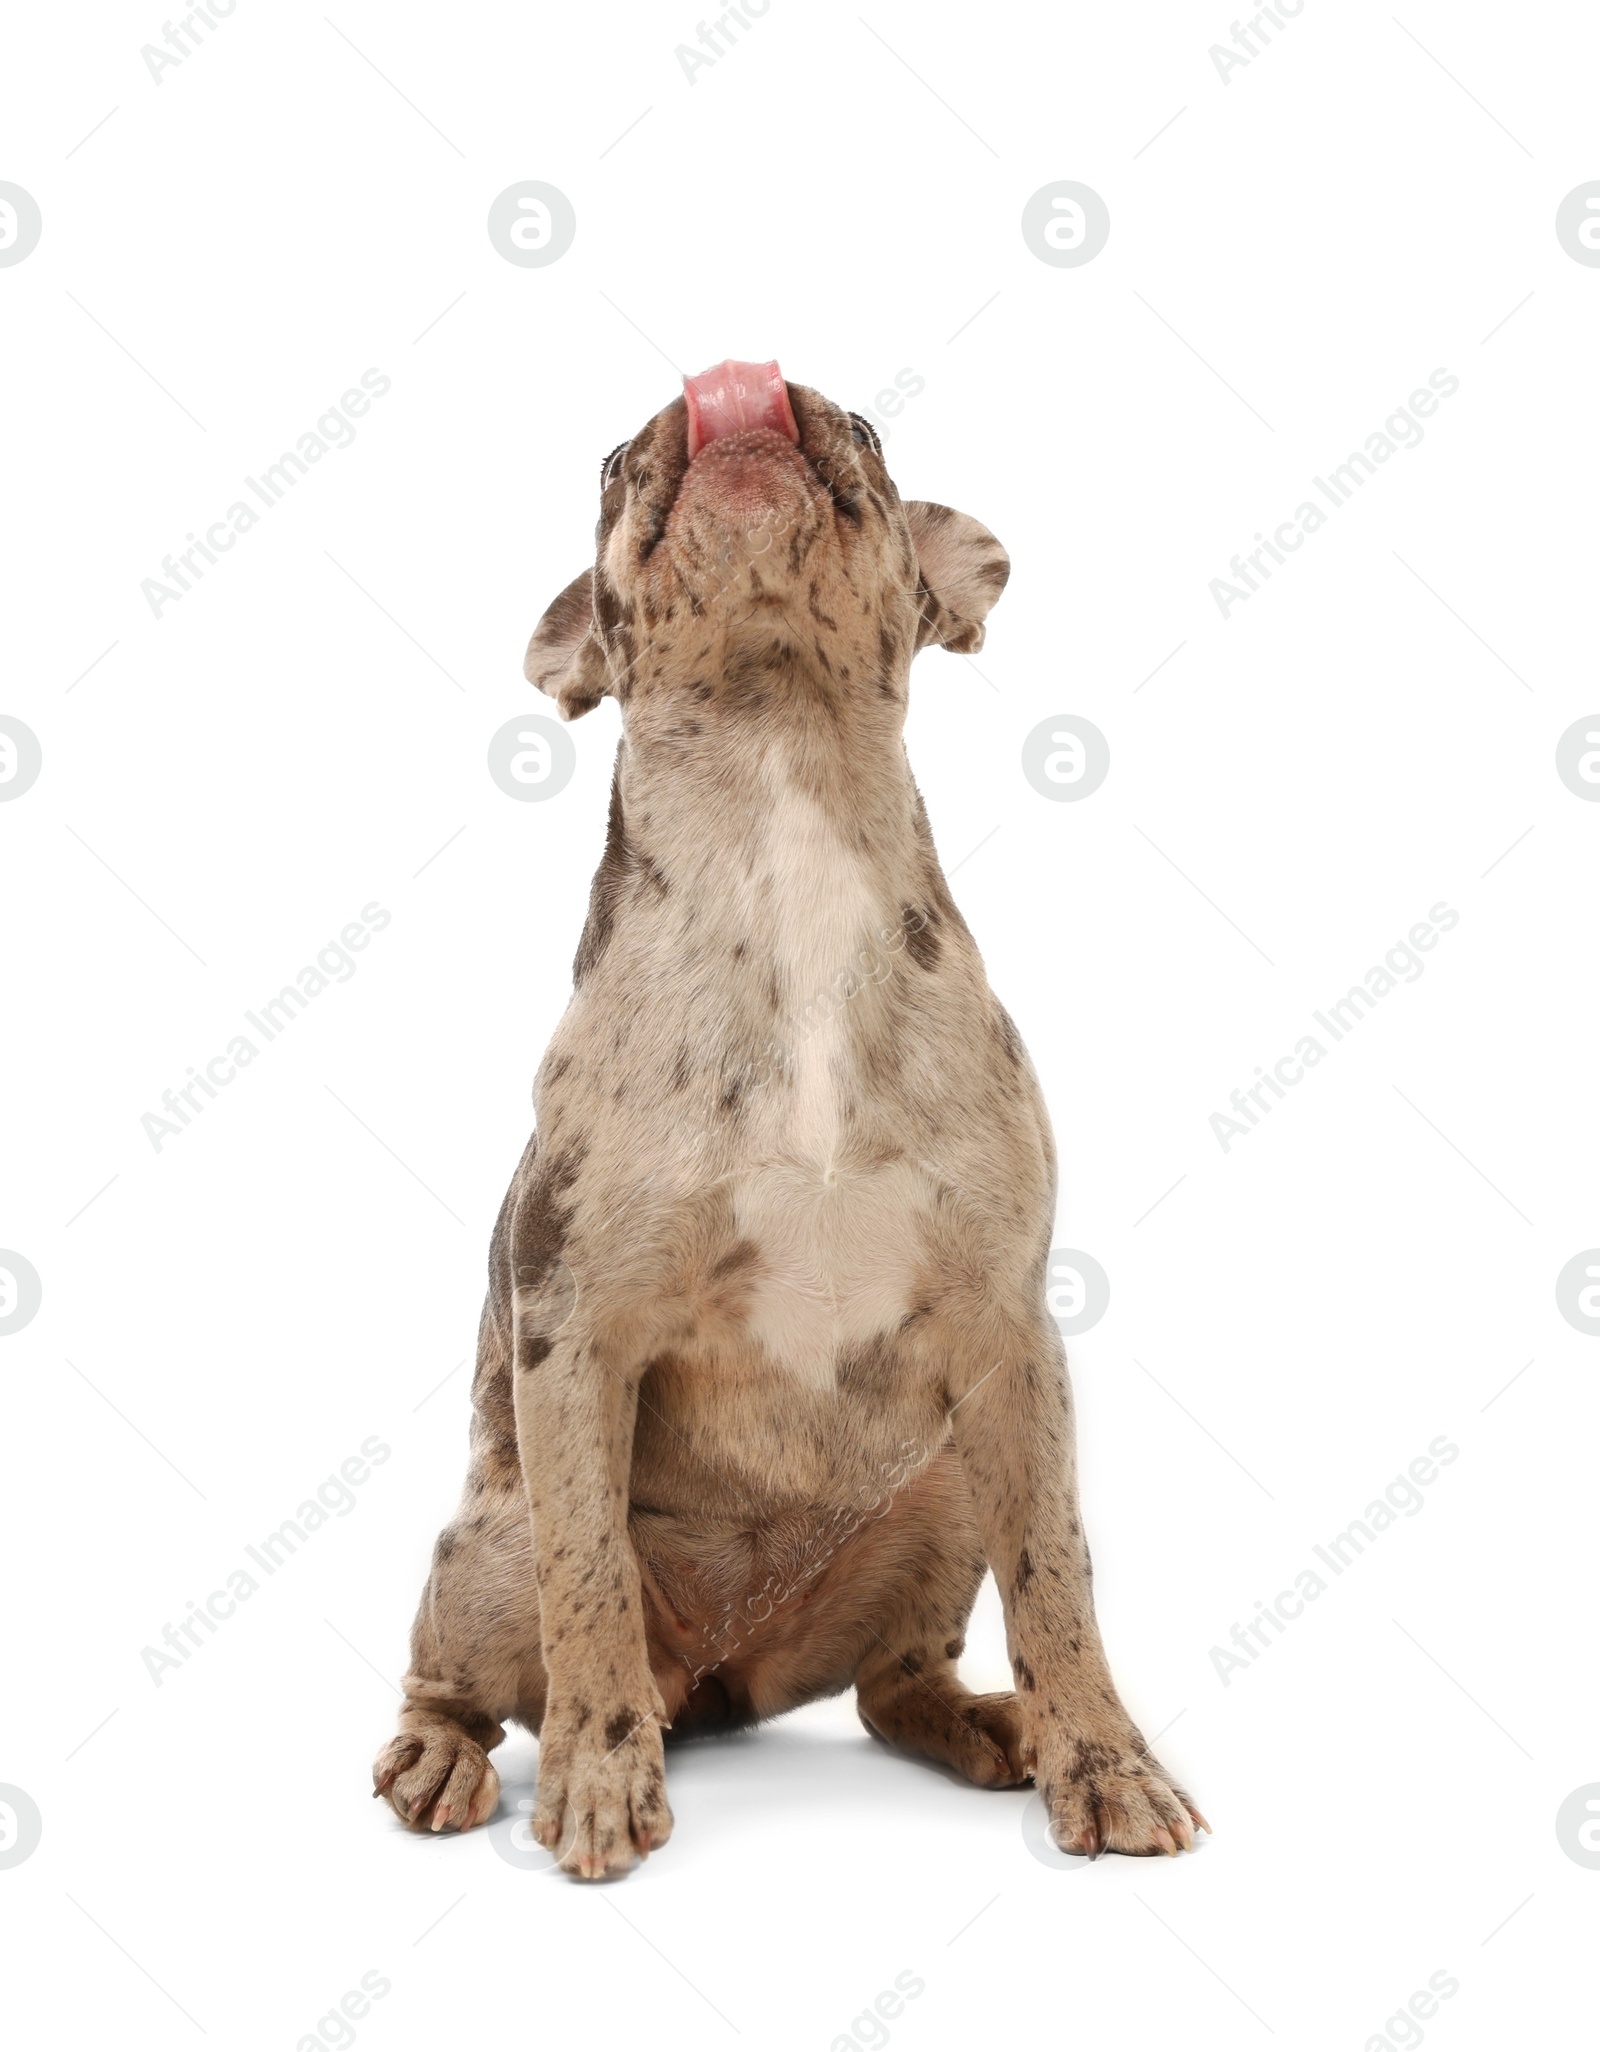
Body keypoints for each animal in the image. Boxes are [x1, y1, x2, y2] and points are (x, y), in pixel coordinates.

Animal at [371, 357, 1197, 1879]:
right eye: (604, 464)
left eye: (865, 429)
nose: (741, 393)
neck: (780, 806)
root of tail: (722, 1677)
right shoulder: (574, 1334)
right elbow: (589, 1587)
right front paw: (594, 1781)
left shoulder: (1012, 1339)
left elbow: (1059, 1577)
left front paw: (1105, 1760)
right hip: (487, 1547)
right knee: (478, 1663)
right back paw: (452, 1754)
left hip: (944, 1492)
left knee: (895, 1684)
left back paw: (989, 1723)